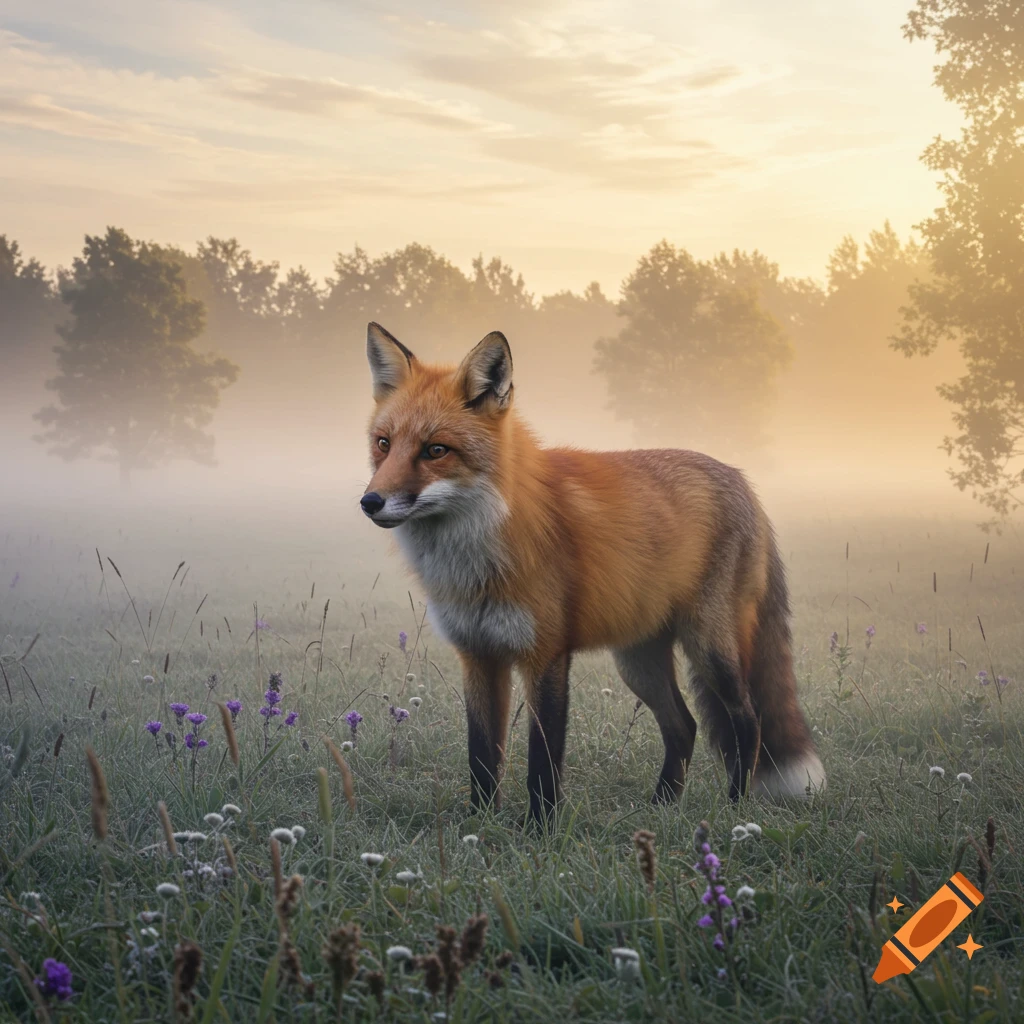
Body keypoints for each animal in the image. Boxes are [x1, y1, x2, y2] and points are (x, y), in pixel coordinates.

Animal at [359, 322, 825, 822]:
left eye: (435, 450)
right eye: (384, 444)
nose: (370, 502)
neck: (476, 562)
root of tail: (742, 479)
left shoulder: (546, 654)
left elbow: (542, 761)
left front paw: (539, 828)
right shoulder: (478, 655)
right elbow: (481, 757)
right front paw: (481, 825)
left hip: (709, 647)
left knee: (747, 719)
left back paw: (734, 807)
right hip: (638, 661)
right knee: (684, 725)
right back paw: (660, 809)